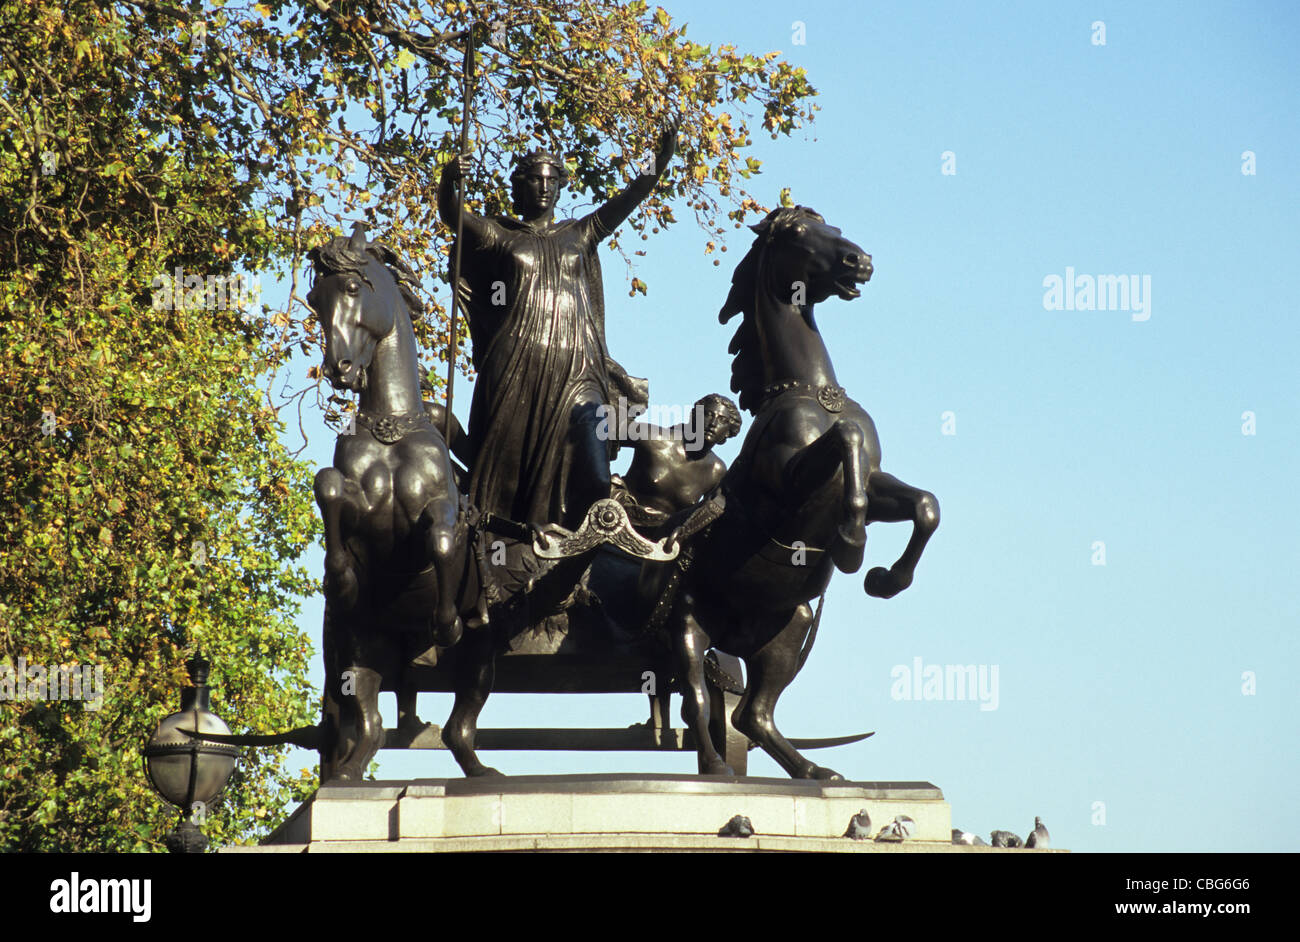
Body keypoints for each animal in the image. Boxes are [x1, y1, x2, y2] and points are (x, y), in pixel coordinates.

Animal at [670, 205, 935, 779]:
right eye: (796, 233)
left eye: (833, 227)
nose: (861, 261)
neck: (811, 391)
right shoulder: (787, 486)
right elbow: (847, 439)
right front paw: (851, 548)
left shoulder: (877, 484)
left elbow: (924, 505)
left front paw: (886, 579)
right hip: (687, 630)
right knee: (699, 701)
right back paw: (718, 769)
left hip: (791, 628)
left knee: (751, 714)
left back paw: (815, 772)